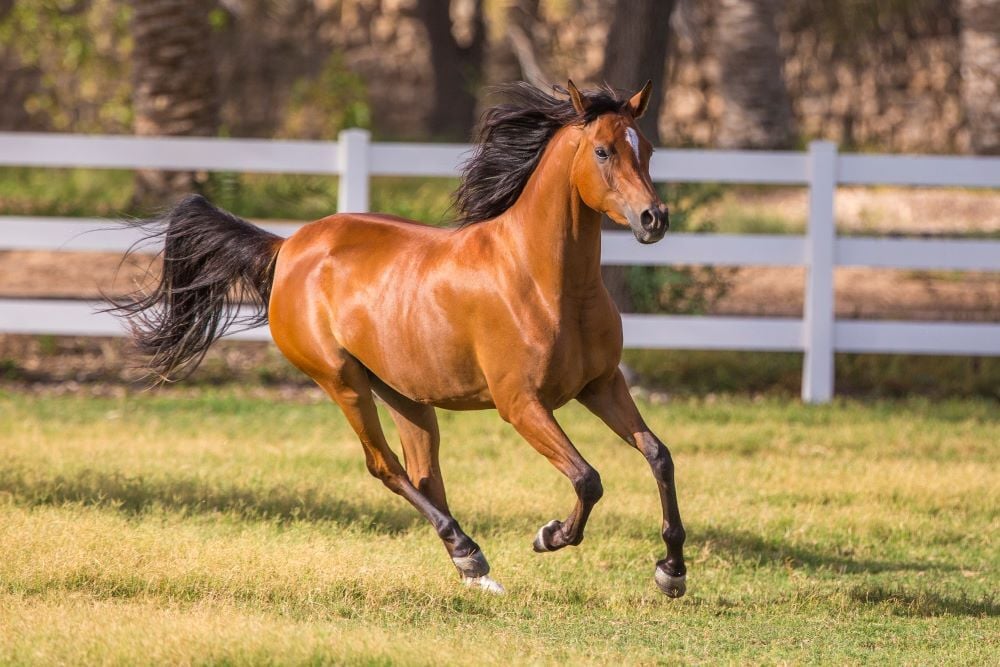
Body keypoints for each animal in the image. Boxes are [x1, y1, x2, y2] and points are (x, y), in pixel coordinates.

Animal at [111, 80, 687, 597]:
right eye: (603, 150)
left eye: (647, 149)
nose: (653, 219)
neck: (543, 278)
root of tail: (287, 247)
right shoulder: (521, 404)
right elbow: (588, 477)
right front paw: (550, 535)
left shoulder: (601, 385)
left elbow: (659, 455)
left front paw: (672, 571)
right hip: (342, 381)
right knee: (385, 465)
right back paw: (469, 553)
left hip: (405, 394)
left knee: (424, 473)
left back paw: (474, 569)